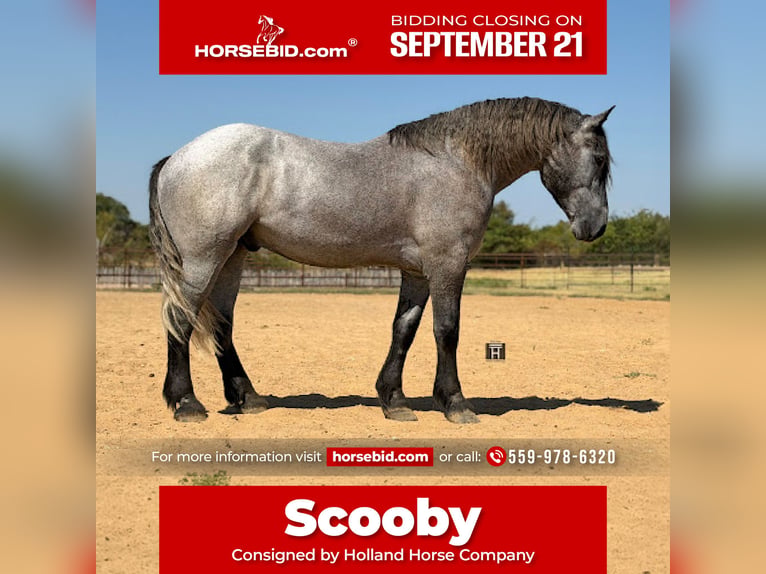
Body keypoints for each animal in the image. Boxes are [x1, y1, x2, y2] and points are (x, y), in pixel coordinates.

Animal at [149, 97, 614, 424]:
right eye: (599, 159)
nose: (595, 227)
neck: (456, 162)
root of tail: (177, 157)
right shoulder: (448, 264)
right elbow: (447, 331)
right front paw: (456, 404)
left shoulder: (417, 272)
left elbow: (403, 330)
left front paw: (394, 400)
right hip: (203, 258)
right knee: (181, 319)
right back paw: (187, 403)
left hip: (231, 258)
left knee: (222, 325)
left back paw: (248, 399)